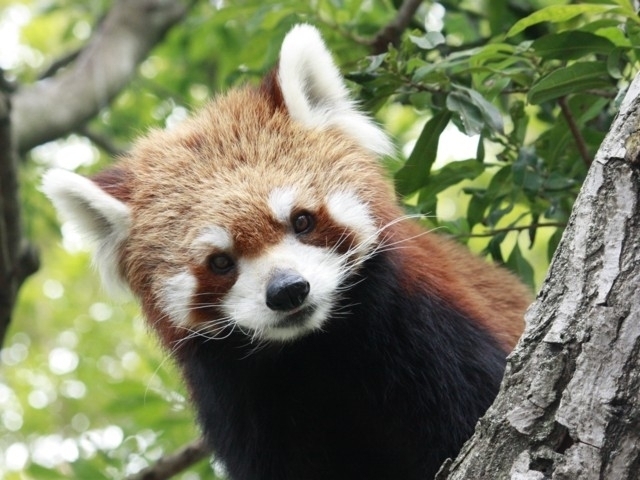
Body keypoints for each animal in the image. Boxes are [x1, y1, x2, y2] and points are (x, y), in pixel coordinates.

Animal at [43, 24, 528, 480]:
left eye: (302, 221)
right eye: (220, 262)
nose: (288, 291)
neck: (314, 351)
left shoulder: (431, 332)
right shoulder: (242, 406)